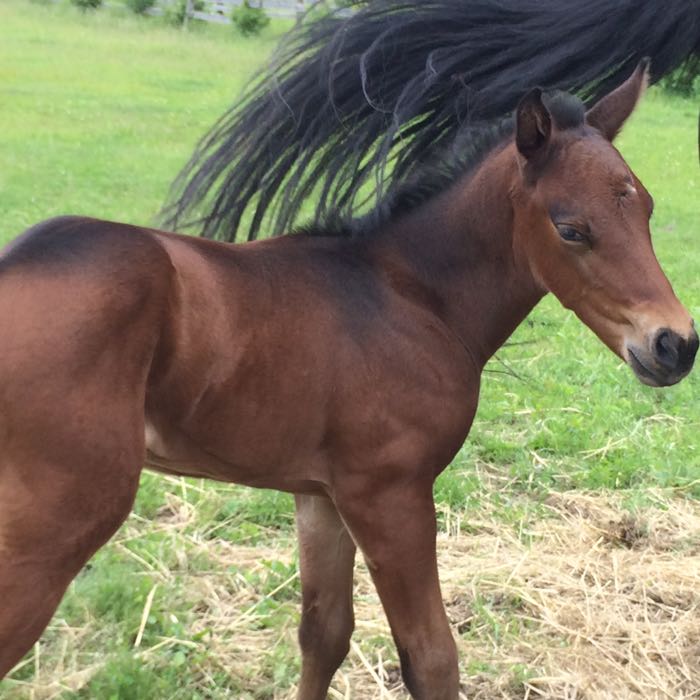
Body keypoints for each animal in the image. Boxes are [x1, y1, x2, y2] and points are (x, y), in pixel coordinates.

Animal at [0, 63, 696, 696]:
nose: (675, 344)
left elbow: (325, 634)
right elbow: (431, 658)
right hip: (55, 524)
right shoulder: (389, 494)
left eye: (647, 207)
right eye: (570, 228)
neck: (412, 294)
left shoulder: (321, 495)